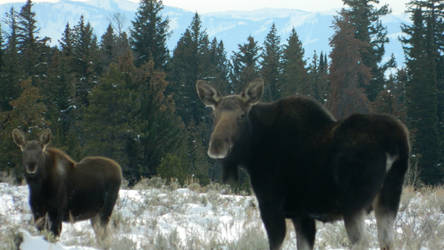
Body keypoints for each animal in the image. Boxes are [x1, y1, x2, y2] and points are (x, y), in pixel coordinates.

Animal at [197, 79, 410, 249]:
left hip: (354, 203)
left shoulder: (271, 206)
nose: (216, 146)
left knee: (363, 242)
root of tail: (395, 142)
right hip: (388, 199)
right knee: (387, 241)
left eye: (242, 115)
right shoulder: (302, 214)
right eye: (213, 115)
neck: (252, 154)